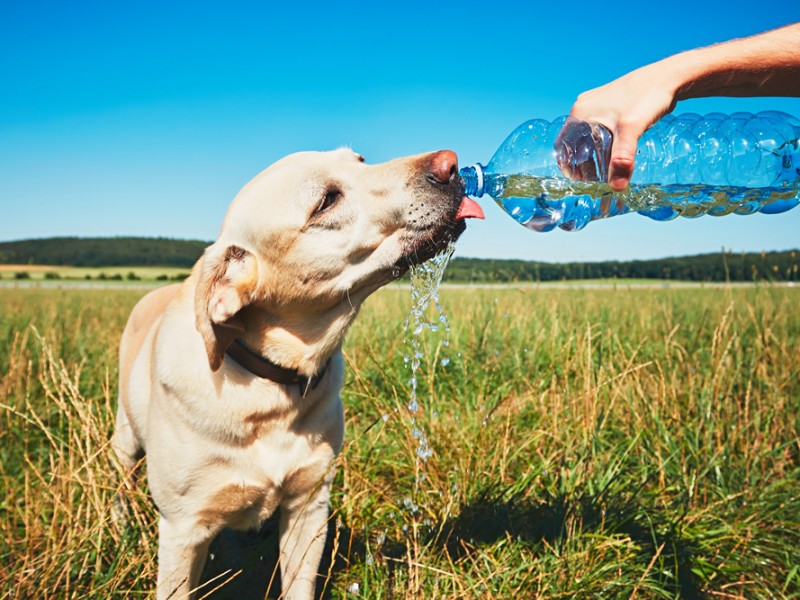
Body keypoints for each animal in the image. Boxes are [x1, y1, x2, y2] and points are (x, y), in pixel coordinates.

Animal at [109, 146, 484, 600]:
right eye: (325, 201)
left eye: (360, 159)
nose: (451, 163)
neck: (270, 387)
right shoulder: (183, 529)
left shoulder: (309, 506)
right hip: (125, 439)